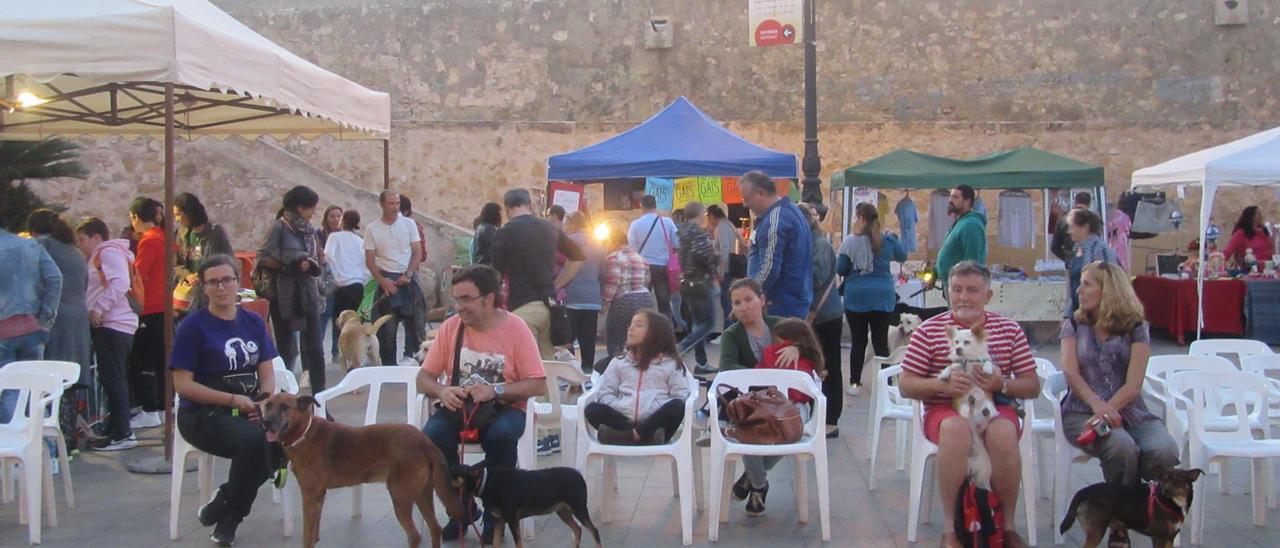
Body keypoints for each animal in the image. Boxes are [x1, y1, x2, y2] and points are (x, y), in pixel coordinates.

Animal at [257, 391, 463, 545]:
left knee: (415, 536)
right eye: (267, 406)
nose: (265, 422)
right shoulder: (319, 496)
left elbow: (306, 536)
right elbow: (314, 532)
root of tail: (424, 441)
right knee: (435, 528)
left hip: (400, 495)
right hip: (423, 493)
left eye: (285, 407)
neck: (303, 433)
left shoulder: (309, 495)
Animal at [453, 460, 601, 545]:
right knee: (577, 530)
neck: (485, 483)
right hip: (563, 511)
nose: (449, 468)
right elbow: (495, 542)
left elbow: (518, 543)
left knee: (594, 531)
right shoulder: (499, 520)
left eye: (455, 472)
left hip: (579, 508)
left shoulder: (512, 520)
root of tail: (580, 475)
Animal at [1059, 466, 1198, 548]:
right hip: (1096, 532)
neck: (1173, 503)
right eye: (1163, 480)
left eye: (1178, 480)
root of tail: (1086, 491)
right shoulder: (1159, 537)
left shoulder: (1170, 538)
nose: (1164, 490)